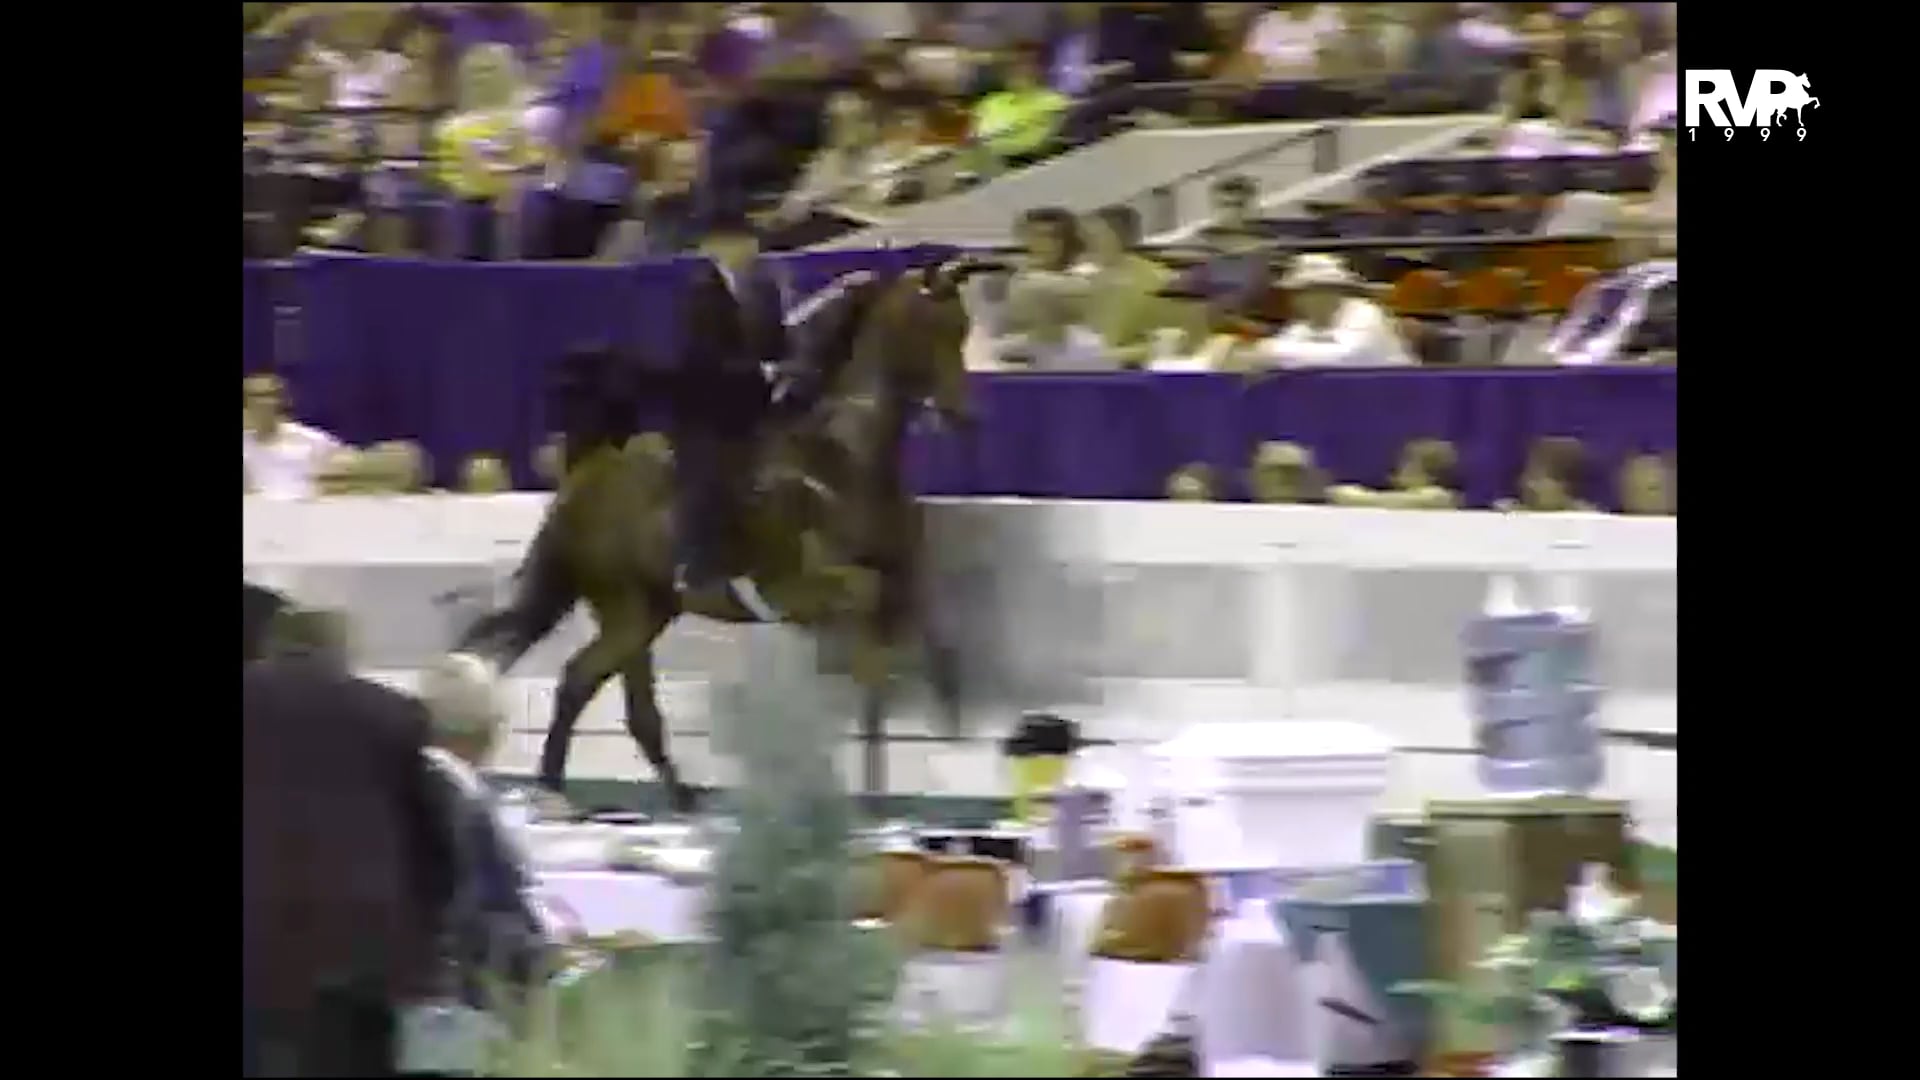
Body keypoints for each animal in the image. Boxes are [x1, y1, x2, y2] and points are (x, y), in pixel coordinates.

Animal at [455, 259, 981, 814]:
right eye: (934, 326)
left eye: (963, 329)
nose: (963, 417)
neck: (844, 458)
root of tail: (582, 474)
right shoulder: (795, 589)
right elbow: (871, 612)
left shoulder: (904, 567)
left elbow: (925, 620)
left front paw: (947, 708)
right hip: (629, 604)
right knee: (594, 687)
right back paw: (578, 790)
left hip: (644, 611)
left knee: (590, 685)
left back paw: (635, 793)